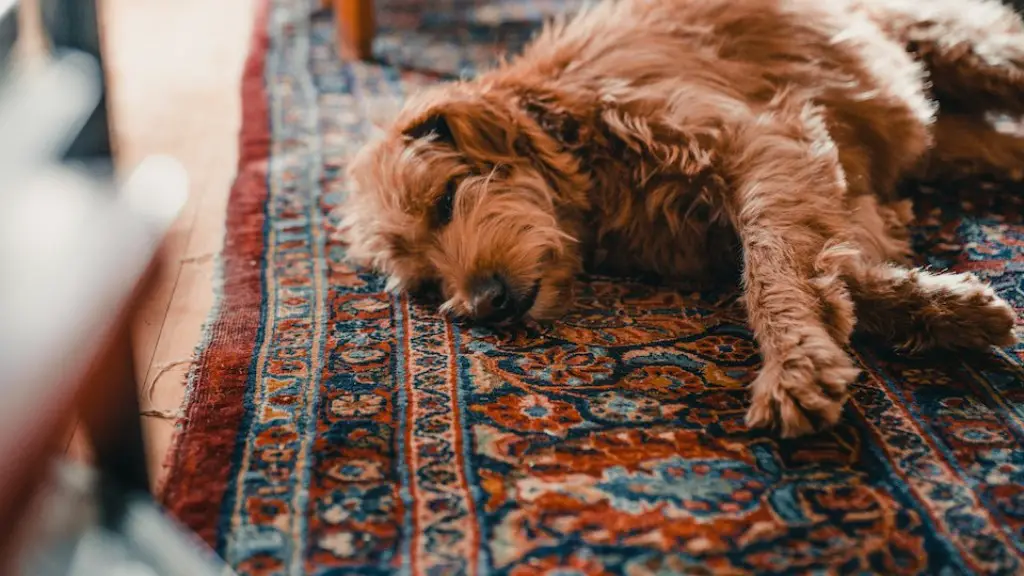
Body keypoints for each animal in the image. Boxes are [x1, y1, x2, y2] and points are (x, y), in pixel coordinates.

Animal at [337, 0, 1024, 432]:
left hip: (966, 49)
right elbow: (838, 267)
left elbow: (773, 271)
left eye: (446, 200)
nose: (486, 304)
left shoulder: (767, 144)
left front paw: (793, 363)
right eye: (427, 285)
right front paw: (950, 310)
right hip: (950, 136)